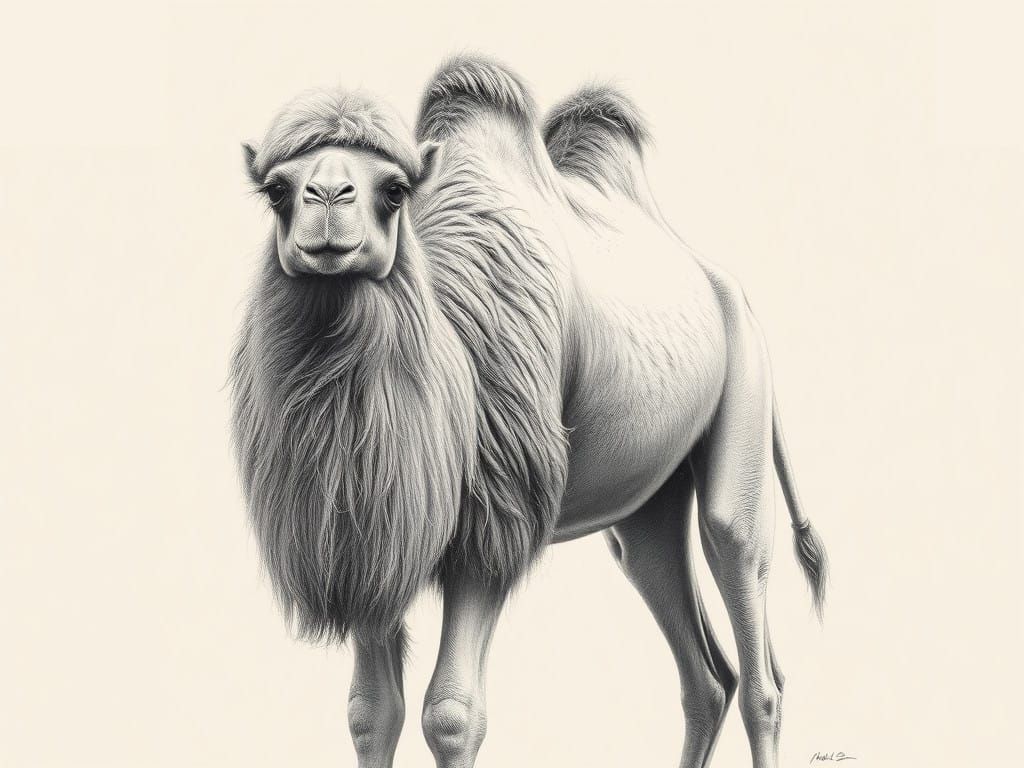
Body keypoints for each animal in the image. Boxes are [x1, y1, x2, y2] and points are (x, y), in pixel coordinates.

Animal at [231, 56, 827, 768]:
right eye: (276, 190)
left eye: (394, 190)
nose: (327, 201)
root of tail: (729, 288)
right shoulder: (375, 535)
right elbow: (371, 712)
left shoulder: (495, 514)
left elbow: (451, 715)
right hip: (646, 511)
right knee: (703, 669)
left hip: (745, 404)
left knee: (753, 641)